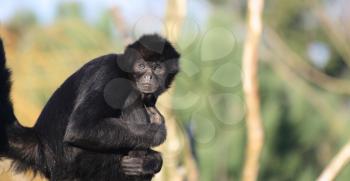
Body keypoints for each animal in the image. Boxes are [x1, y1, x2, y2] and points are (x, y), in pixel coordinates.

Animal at [0, 34, 180, 181]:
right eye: (141, 66)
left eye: (157, 68)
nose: (149, 76)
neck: (126, 73)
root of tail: (40, 142)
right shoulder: (109, 76)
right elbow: (80, 128)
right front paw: (158, 133)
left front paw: (152, 159)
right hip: (80, 161)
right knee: (131, 95)